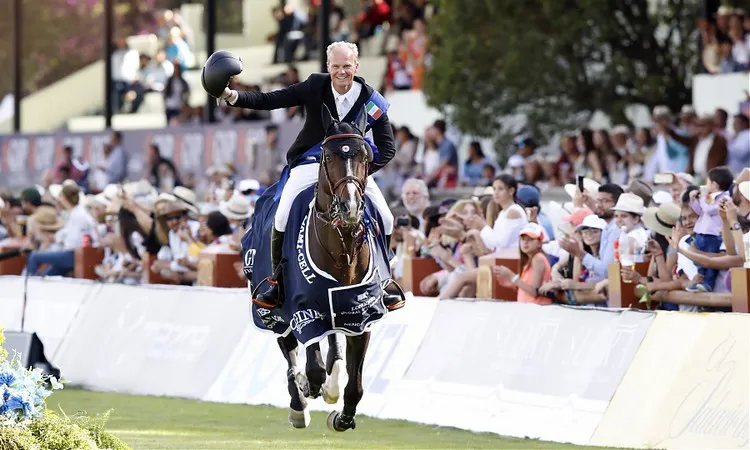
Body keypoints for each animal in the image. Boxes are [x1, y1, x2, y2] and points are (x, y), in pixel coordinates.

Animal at [242, 105, 399, 432]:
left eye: (365, 156)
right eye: (327, 156)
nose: (349, 208)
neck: (342, 251)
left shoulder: (360, 316)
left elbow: (355, 384)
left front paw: (342, 417)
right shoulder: (306, 310)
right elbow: (311, 367)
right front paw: (310, 387)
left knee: (331, 345)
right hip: (272, 311)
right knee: (288, 348)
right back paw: (298, 406)